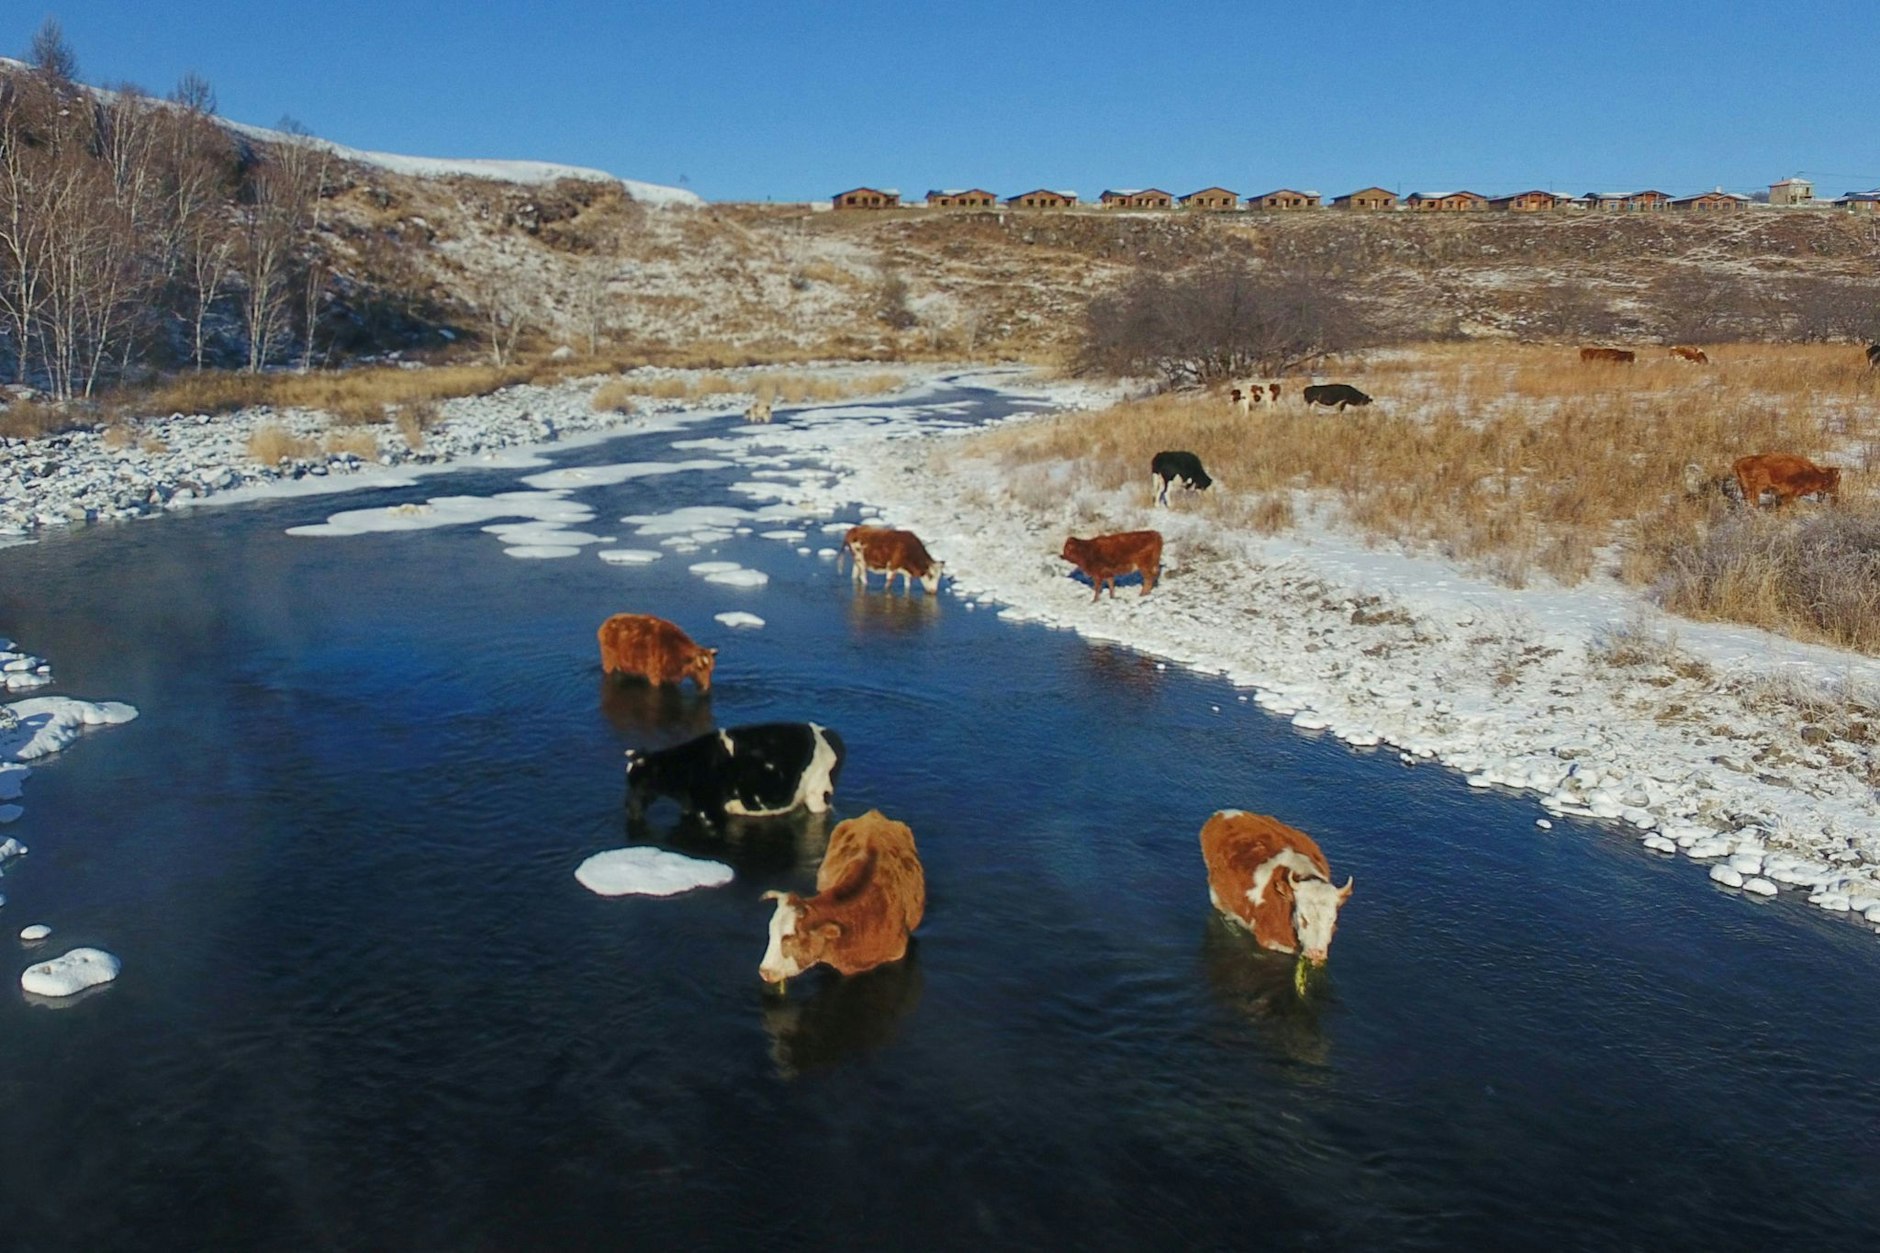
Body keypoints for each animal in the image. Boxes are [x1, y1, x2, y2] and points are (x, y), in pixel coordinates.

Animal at [626, 722, 844, 822]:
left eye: (642, 782)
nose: (628, 809)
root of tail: (828, 732)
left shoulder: (710, 810)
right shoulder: (692, 807)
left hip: (818, 793)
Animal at [1200, 810, 1352, 966]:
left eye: (1332, 919)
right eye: (1303, 917)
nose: (1315, 953)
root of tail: (1225, 812)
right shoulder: (1271, 941)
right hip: (1217, 896)